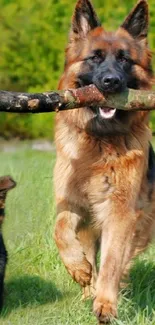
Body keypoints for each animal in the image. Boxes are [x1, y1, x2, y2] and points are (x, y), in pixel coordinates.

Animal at [54, 0, 155, 322]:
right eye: (95, 58)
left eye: (124, 60)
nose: (111, 82)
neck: (100, 143)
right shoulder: (72, 202)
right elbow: (60, 230)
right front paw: (78, 269)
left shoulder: (120, 212)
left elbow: (112, 261)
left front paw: (106, 304)